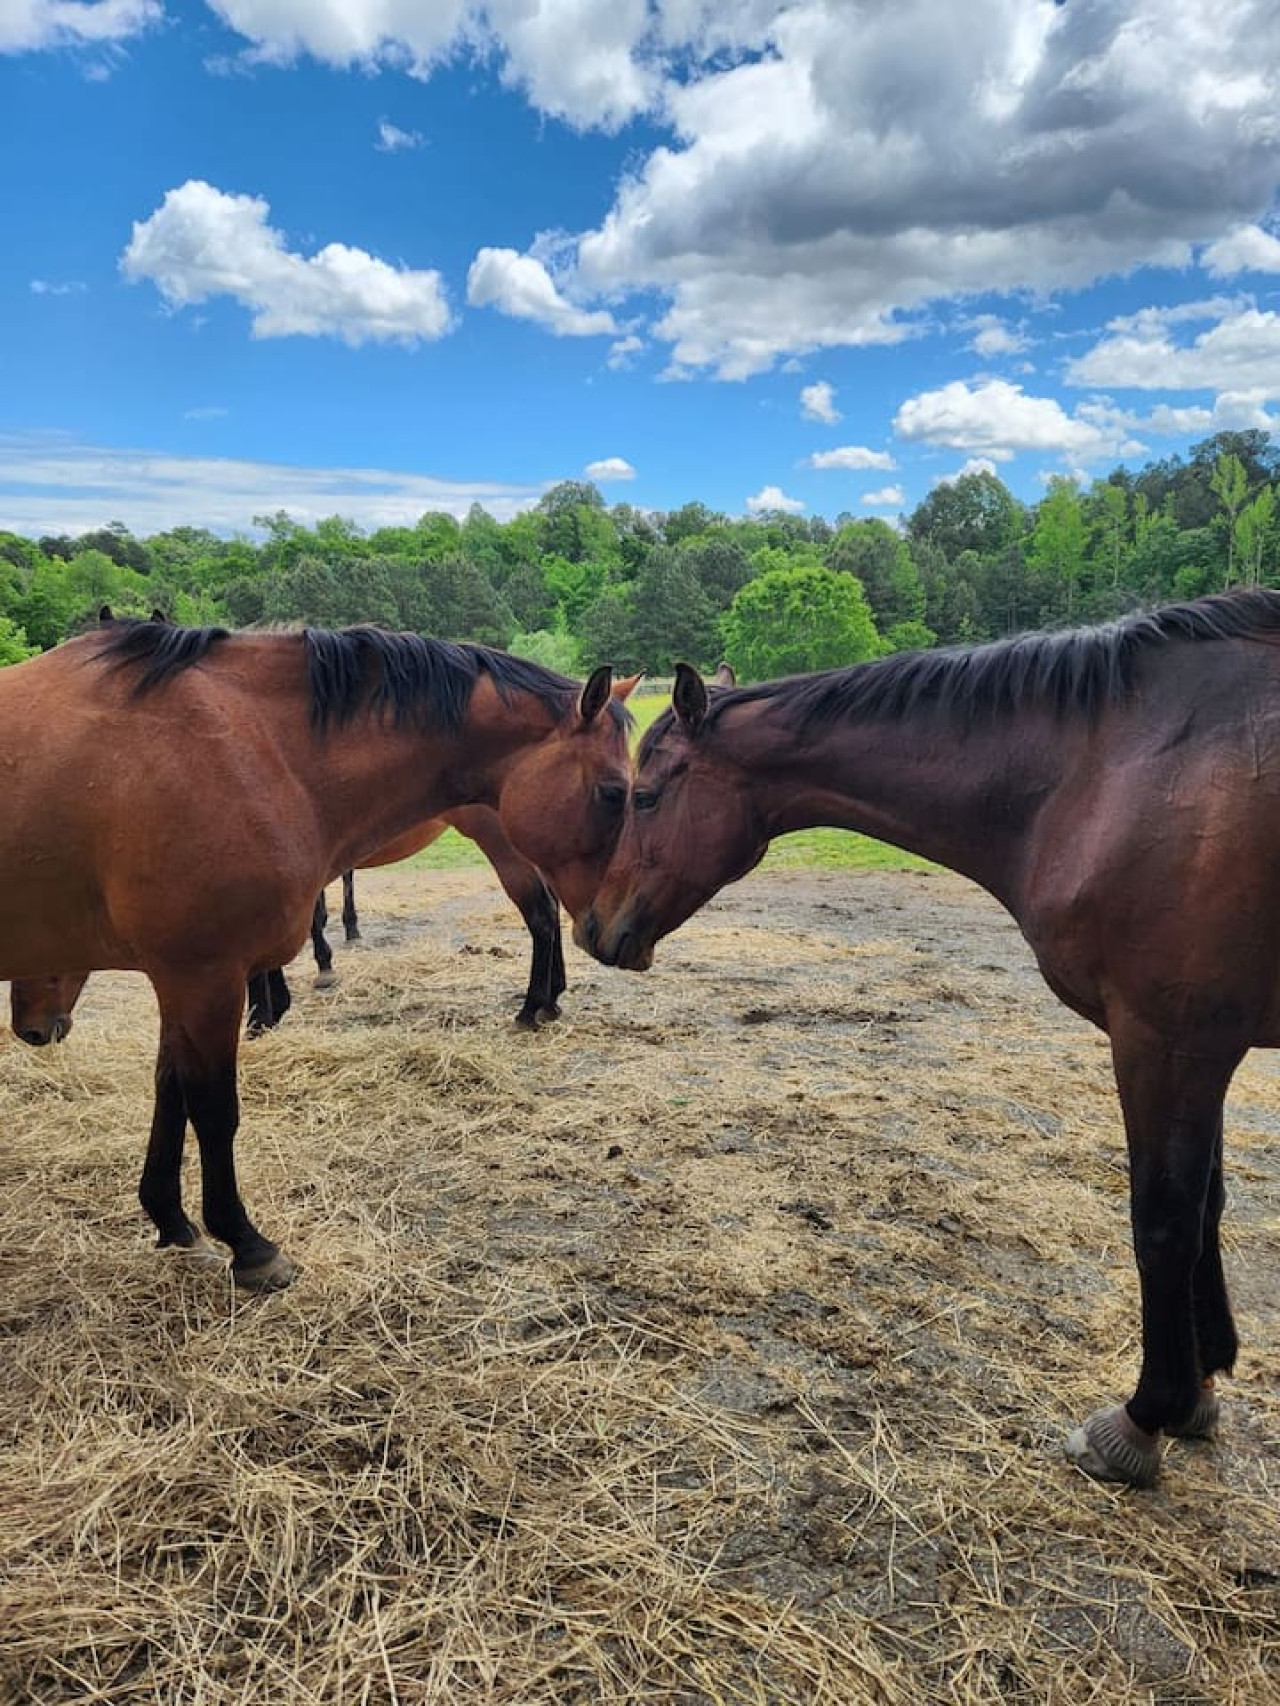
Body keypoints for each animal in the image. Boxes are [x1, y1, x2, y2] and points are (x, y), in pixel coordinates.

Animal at [0, 619, 638, 1290]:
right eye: (613, 792)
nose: (614, 927)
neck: (249, 746)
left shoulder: (192, 976)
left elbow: (182, 1096)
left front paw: (203, 1228)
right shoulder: (196, 976)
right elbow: (204, 1105)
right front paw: (224, 1236)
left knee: (540, 916)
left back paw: (538, 1004)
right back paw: (541, 1002)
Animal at [574, 589, 1280, 1488]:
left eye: (646, 795)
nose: (593, 928)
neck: (1107, 768)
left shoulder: (1167, 1039)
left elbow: (1163, 1223)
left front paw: (1144, 1417)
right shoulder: (1204, 1045)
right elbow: (1207, 1210)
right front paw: (1202, 1387)